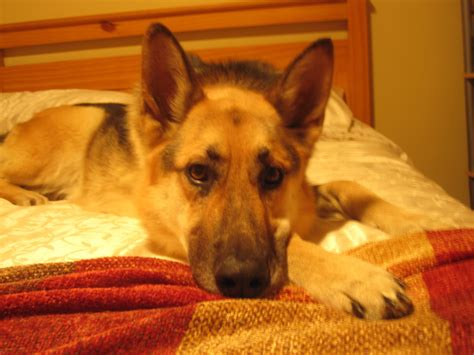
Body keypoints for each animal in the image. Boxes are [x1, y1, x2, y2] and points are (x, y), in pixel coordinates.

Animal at [0, 24, 416, 320]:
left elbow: (352, 185)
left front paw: (413, 219)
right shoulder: (169, 232)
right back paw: (25, 195)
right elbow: (292, 241)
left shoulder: (309, 192)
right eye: (198, 172)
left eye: (273, 176)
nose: (242, 281)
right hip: (67, 135)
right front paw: (355, 277)